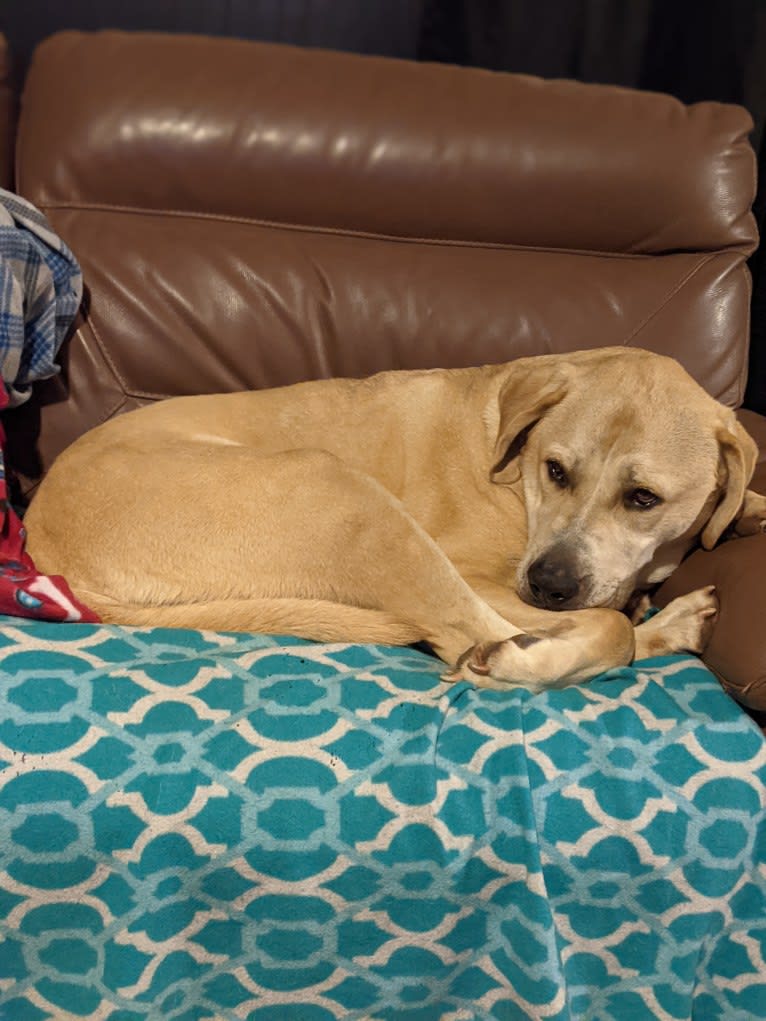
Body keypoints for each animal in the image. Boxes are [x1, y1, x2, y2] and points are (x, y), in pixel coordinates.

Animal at [24, 347, 766, 690]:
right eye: (557, 470)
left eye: (643, 498)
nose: (550, 584)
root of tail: (46, 545)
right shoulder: (485, 573)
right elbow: (607, 625)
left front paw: (745, 508)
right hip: (342, 492)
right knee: (473, 634)